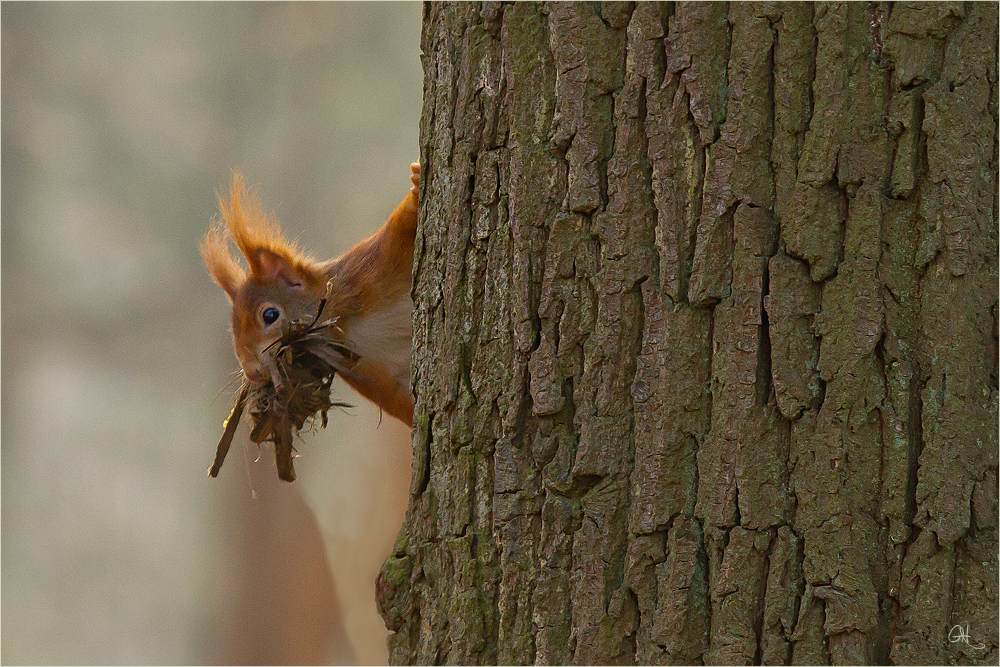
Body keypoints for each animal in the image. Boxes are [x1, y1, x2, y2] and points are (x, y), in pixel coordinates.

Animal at [201, 160, 420, 428]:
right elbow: (401, 400)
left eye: (270, 315)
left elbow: (402, 228)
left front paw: (416, 185)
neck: (348, 324)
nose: (253, 372)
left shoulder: (374, 264)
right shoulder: (371, 371)